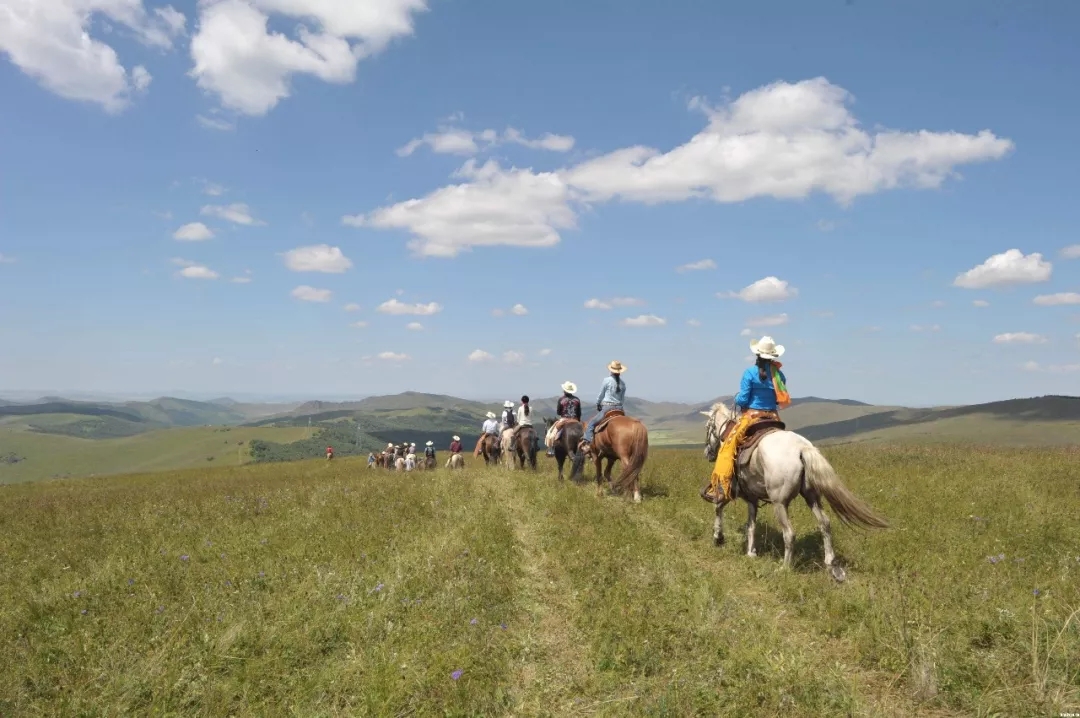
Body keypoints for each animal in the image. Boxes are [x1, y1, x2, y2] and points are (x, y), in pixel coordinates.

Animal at [699, 399, 885, 578]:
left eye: (708, 427)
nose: (707, 453)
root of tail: (801, 447)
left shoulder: (731, 491)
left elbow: (718, 507)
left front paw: (718, 538)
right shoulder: (752, 498)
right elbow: (751, 525)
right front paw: (751, 552)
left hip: (779, 503)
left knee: (789, 534)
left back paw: (785, 568)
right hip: (812, 497)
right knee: (825, 523)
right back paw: (830, 563)